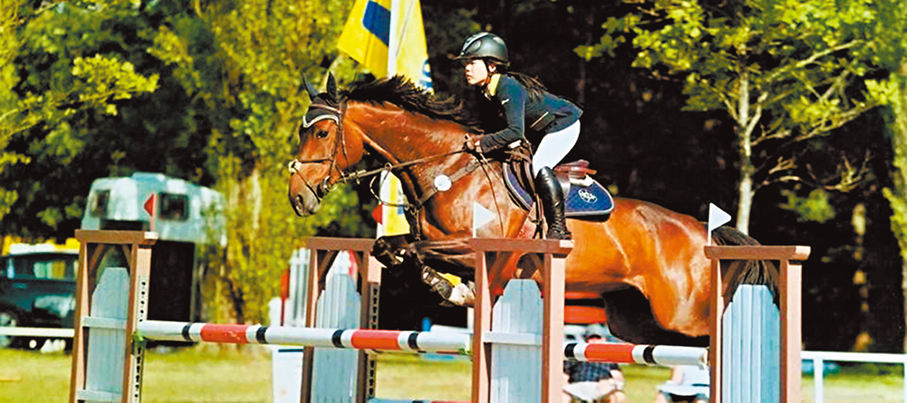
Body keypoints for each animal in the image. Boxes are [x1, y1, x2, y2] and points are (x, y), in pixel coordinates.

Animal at [287, 74, 775, 346]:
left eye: (323, 133)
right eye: (302, 131)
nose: (298, 197)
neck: (446, 169)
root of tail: (699, 229)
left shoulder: (478, 246)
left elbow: (420, 251)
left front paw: (455, 290)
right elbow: (393, 248)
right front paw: (453, 291)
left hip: (683, 314)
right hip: (634, 320)